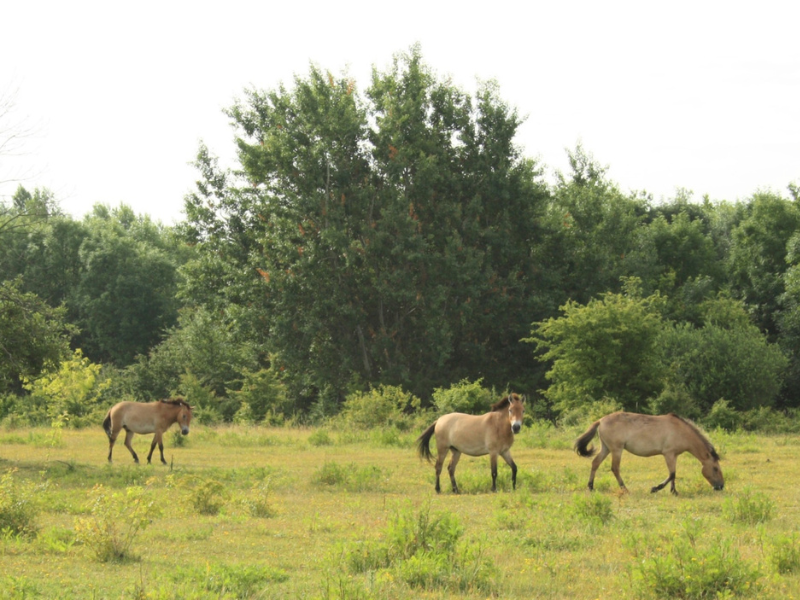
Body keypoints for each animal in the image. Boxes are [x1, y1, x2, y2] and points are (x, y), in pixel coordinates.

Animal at [574, 411, 724, 495]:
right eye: (715, 468)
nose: (721, 486)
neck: (681, 431)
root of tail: (601, 421)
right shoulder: (668, 454)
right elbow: (672, 474)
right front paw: (655, 488)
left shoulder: (674, 455)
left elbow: (674, 474)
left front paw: (674, 491)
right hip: (616, 450)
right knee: (615, 468)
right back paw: (625, 489)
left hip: (606, 448)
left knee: (595, 463)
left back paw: (591, 487)